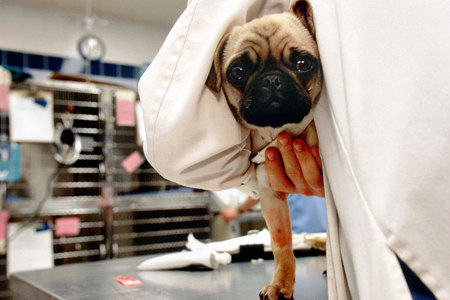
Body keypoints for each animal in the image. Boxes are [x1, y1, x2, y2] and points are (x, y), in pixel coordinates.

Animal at [206, 1, 322, 298]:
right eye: (238, 71)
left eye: (303, 64)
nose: (271, 79)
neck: (280, 130)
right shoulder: (272, 198)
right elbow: (282, 246)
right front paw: (281, 283)